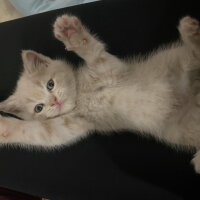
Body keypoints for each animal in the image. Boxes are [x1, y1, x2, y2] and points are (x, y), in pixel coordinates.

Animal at [0, 14, 200, 173]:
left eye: (50, 84)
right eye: (39, 108)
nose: (54, 102)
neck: (81, 97)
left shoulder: (114, 71)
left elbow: (96, 56)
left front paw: (72, 34)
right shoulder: (74, 123)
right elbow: (41, 133)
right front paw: (4, 127)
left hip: (177, 61)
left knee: (195, 55)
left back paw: (191, 33)